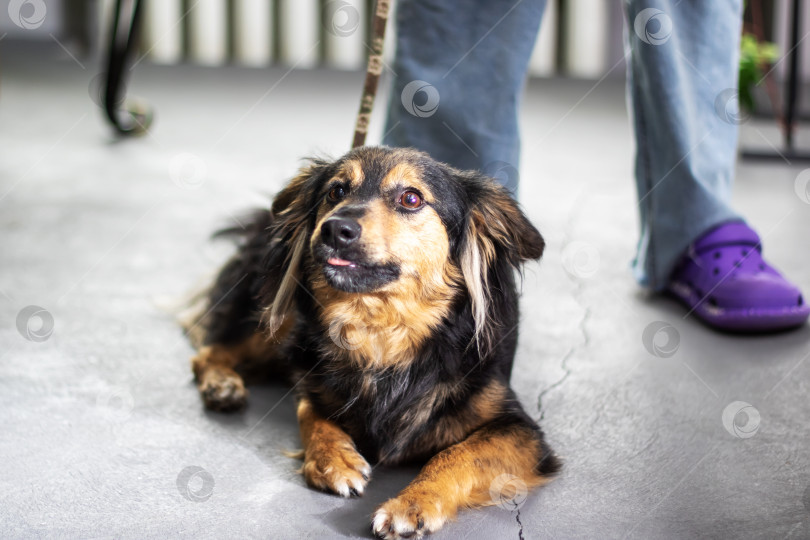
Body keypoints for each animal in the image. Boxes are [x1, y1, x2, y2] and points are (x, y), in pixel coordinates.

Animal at [189, 146, 556, 536]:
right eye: (336, 191)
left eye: (411, 198)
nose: (334, 228)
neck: (379, 330)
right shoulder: (312, 379)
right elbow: (309, 411)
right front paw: (333, 460)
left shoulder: (522, 431)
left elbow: (457, 453)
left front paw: (412, 504)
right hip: (278, 317)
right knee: (211, 350)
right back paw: (222, 384)